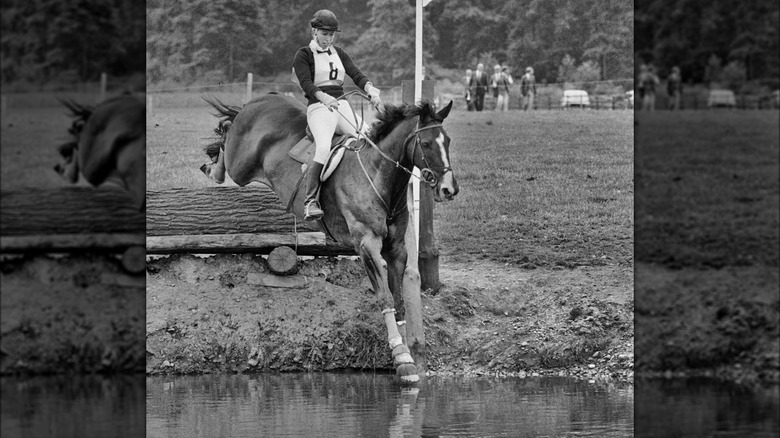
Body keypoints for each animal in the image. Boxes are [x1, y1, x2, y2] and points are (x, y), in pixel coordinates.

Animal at [200, 93, 464, 384]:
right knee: (227, 136)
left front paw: (406, 357)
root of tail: (259, 101)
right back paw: (213, 167)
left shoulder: (396, 250)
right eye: (426, 144)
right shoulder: (367, 244)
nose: (449, 190)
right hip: (241, 165)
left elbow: (398, 302)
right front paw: (399, 354)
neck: (379, 174)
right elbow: (384, 298)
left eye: (448, 141)